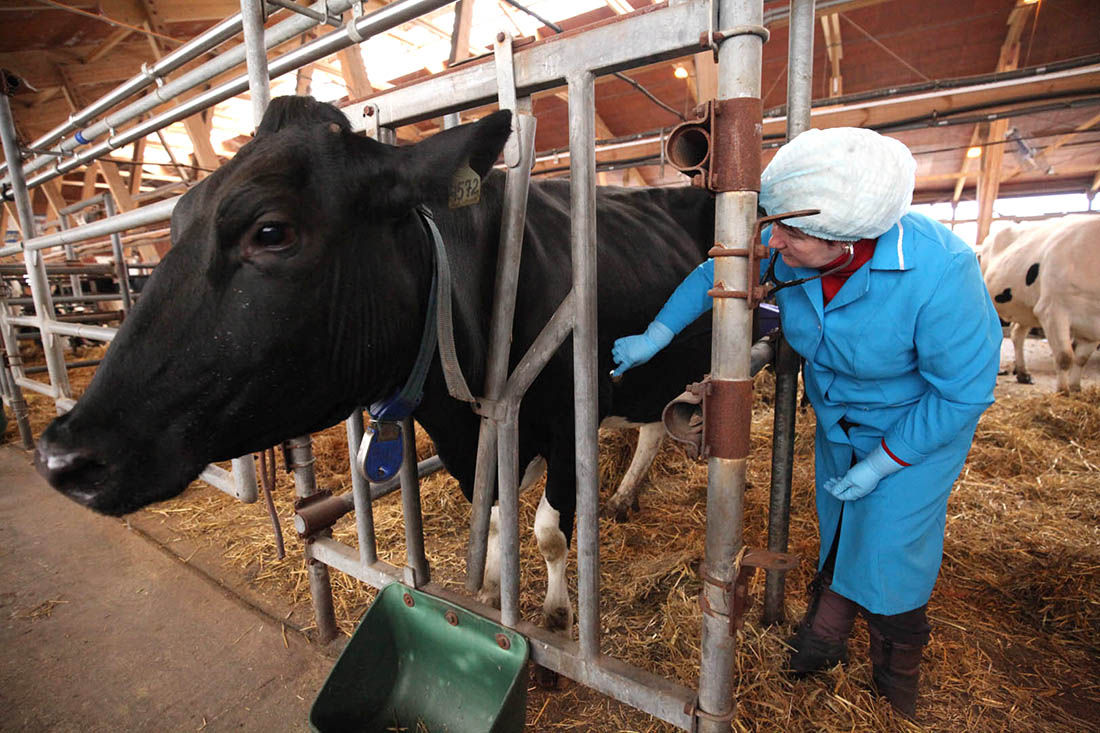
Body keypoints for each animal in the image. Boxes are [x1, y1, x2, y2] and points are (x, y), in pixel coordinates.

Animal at [36, 95, 712, 629]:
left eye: (271, 231)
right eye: (175, 222)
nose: (60, 454)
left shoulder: (570, 419)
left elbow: (547, 533)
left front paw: (554, 616)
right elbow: (495, 524)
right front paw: (494, 594)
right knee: (653, 424)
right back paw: (623, 496)